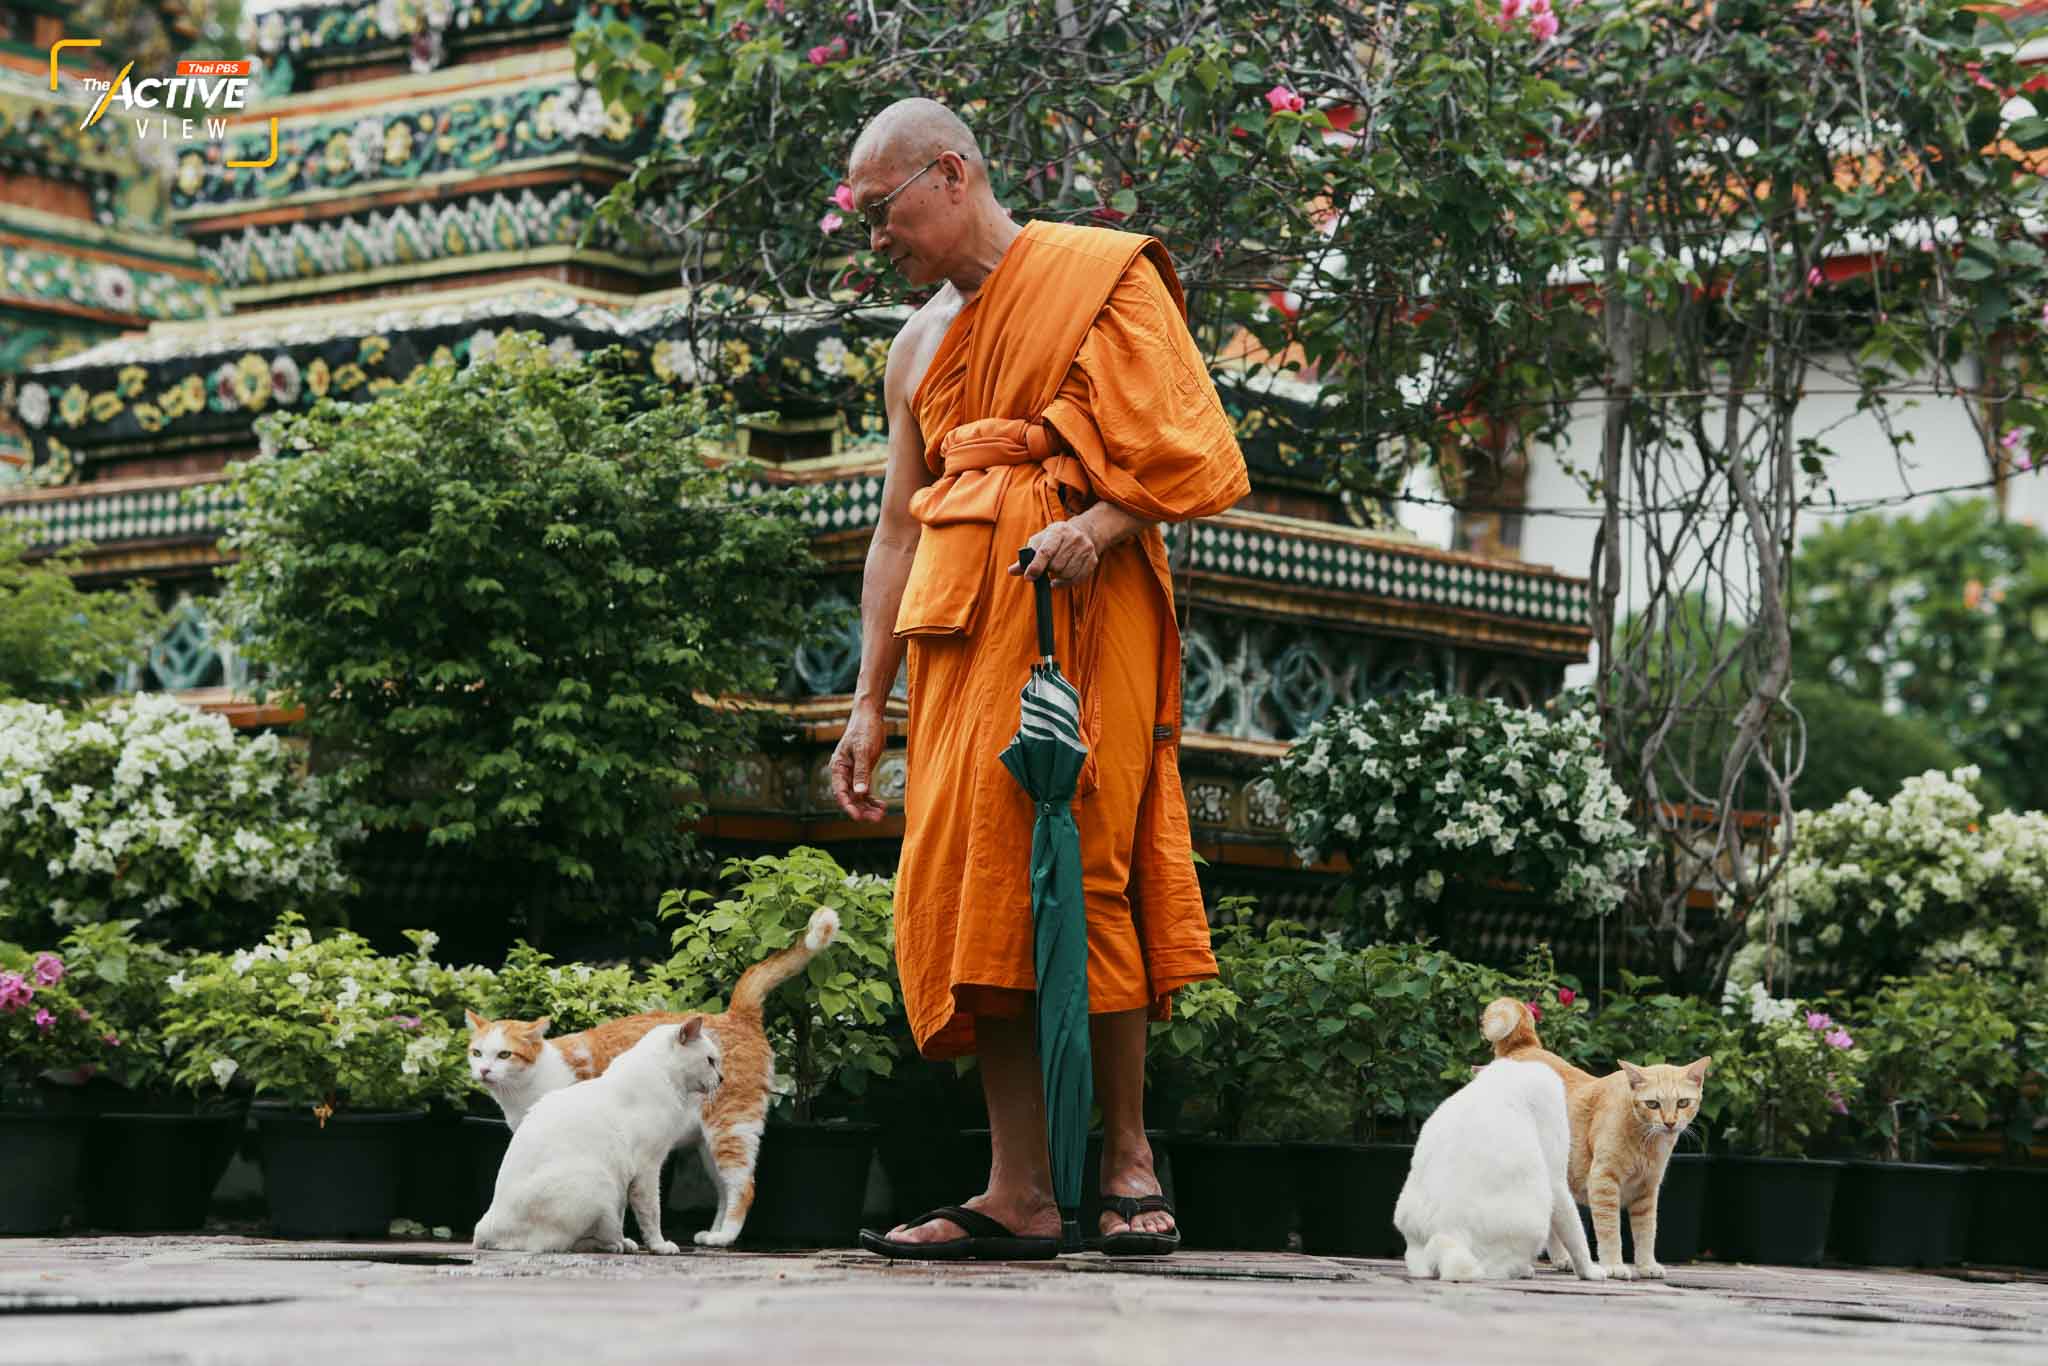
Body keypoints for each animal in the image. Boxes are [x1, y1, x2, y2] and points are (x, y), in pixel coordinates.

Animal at [471, 1015, 720, 1253]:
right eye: (711, 1061)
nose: (722, 1079)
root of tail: (484, 1229)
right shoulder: (647, 1169)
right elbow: (651, 1214)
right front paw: (659, 1246)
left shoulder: (628, 1176)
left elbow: (621, 1214)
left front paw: (627, 1240)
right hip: (599, 1182)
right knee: (564, 1243)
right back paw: (610, 1245)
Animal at [1392, 1056, 1613, 1286]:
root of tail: (1449, 1235)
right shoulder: (1556, 1177)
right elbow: (1574, 1232)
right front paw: (1589, 1271)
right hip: (1534, 1218)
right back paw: (1524, 1270)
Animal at [1474, 995, 1712, 1286]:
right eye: (1653, 1104)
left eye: (1683, 1103)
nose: (1669, 1122)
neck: (1646, 1141)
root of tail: (1524, 1046)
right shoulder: (1604, 1182)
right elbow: (1610, 1232)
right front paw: (1614, 1266)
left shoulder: (1646, 1192)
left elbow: (1646, 1232)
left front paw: (1646, 1265)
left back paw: (1562, 1259)